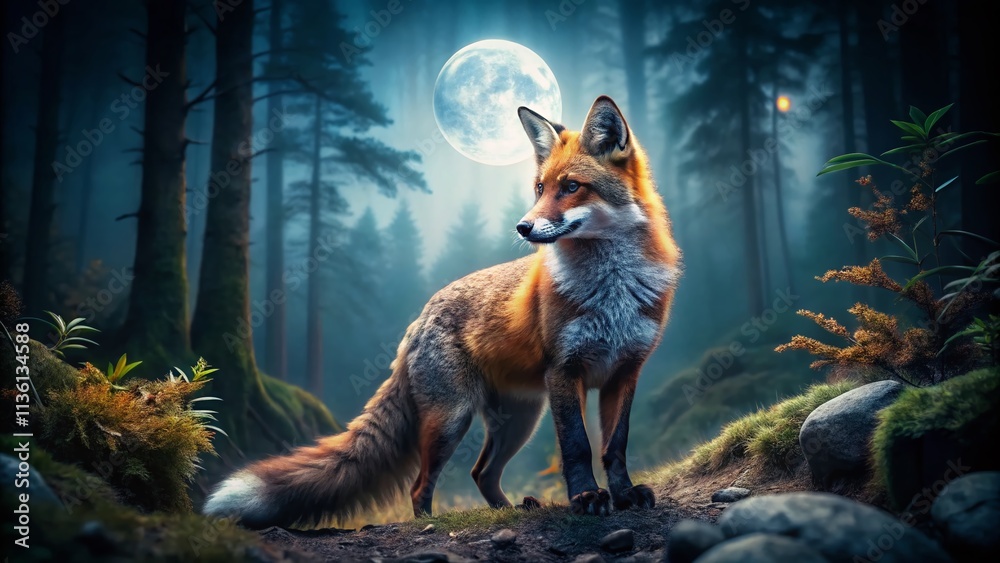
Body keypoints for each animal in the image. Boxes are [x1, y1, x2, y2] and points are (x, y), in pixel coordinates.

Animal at [203, 95, 681, 528]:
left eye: (572, 187)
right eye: (540, 188)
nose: (523, 227)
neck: (612, 291)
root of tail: (418, 319)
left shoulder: (625, 371)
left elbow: (614, 447)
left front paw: (623, 495)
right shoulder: (566, 371)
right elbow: (578, 447)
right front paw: (586, 497)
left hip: (519, 420)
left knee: (481, 473)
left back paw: (510, 510)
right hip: (453, 420)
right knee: (422, 485)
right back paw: (430, 522)